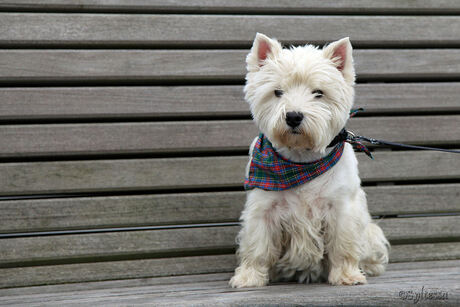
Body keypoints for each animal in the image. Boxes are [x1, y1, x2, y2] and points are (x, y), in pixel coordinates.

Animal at [229, 33, 388, 288]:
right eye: (277, 92)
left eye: (318, 92)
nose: (293, 116)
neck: (301, 161)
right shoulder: (262, 209)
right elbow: (257, 246)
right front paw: (248, 277)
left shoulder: (341, 208)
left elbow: (343, 245)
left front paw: (347, 276)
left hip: (370, 231)